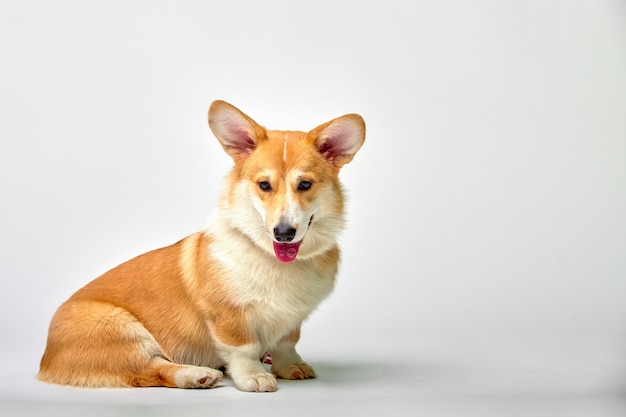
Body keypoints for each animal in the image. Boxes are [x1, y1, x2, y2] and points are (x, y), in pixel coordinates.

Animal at [36, 100, 364, 390]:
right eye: (264, 185)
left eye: (305, 185)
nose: (283, 233)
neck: (271, 257)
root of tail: (45, 359)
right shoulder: (228, 315)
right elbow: (244, 348)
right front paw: (253, 377)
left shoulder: (292, 319)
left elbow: (287, 343)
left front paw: (289, 367)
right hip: (123, 330)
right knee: (149, 369)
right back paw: (196, 375)